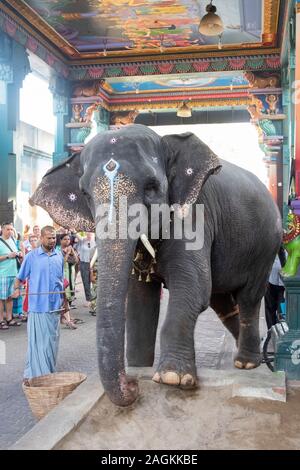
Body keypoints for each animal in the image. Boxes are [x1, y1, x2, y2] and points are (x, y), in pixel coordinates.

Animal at [29, 125, 282, 408]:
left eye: (152, 186)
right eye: (84, 194)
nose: (131, 385)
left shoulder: (195, 216)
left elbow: (192, 287)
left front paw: (173, 378)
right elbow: (140, 302)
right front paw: (140, 369)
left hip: (266, 247)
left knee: (248, 297)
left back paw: (247, 363)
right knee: (222, 302)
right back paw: (247, 356)